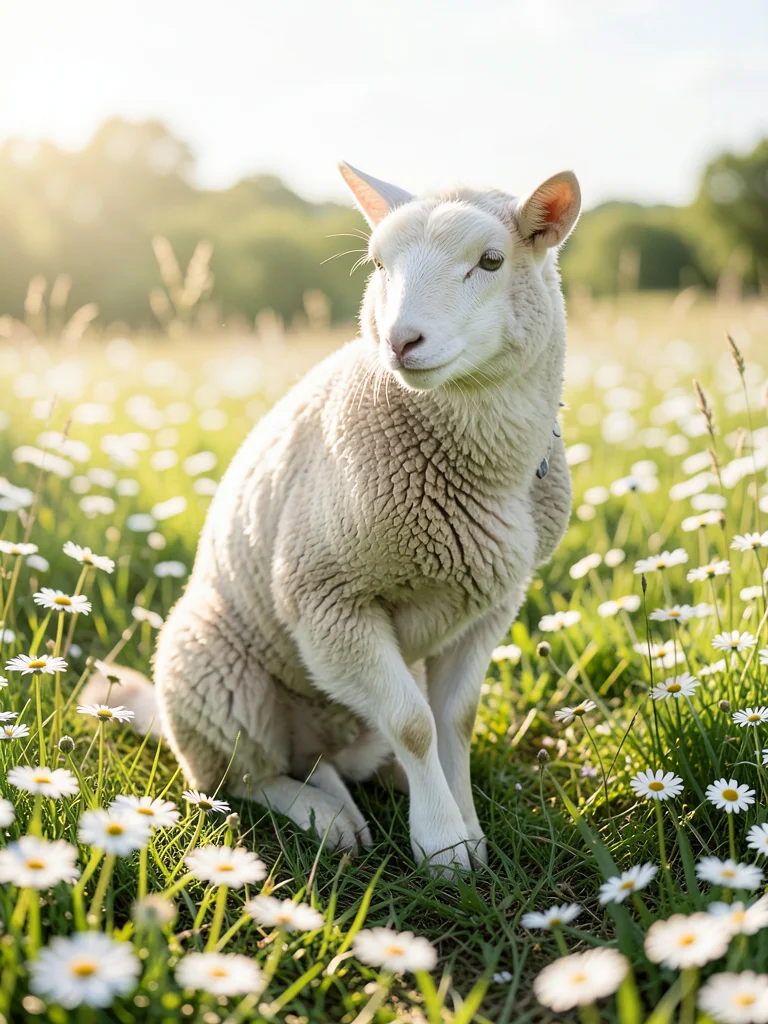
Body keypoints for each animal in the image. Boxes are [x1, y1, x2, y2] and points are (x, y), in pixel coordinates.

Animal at [98, 163, 579, 875]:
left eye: (492, 261)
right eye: (378, 264)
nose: (401, 341)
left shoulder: (492, 602)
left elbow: (454, 719)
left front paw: (467, 825)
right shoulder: (327, 599)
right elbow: (414, 724)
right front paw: (444, 847)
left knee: (332, 759)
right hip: (213, 675)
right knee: (243, 779)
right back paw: (326, 818)